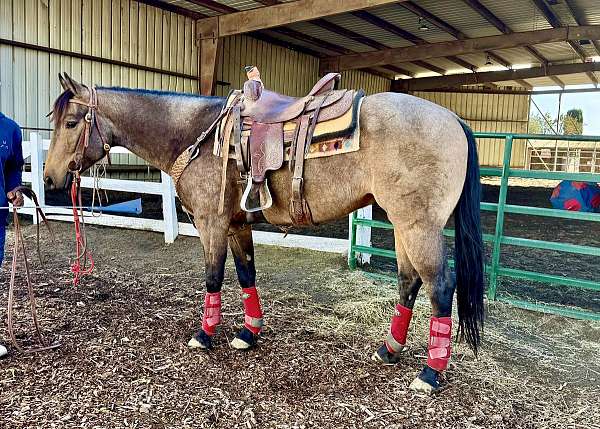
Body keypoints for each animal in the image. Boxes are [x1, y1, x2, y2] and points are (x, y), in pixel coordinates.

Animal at [43, 73, 482, 394]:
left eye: (71, 123)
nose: (48, 177)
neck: (198, 136)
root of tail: (455, 121)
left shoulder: (213, 223)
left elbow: (214, 277)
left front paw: (205, 335)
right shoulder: (237, 225)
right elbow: (246, 275)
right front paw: (247, 333)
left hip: (418, 226)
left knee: (440, 286)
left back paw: (430, 373)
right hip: (402, 225)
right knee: (409, 281)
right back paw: (389, 350)